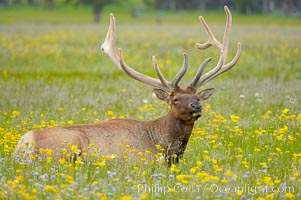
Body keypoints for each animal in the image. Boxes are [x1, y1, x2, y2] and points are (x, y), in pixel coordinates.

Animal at [14, 6, 241, 165]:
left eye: (197, 97)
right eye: (175, 99)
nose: (196, 106)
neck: (164, 147)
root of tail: (24, 144)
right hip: (66, 147)